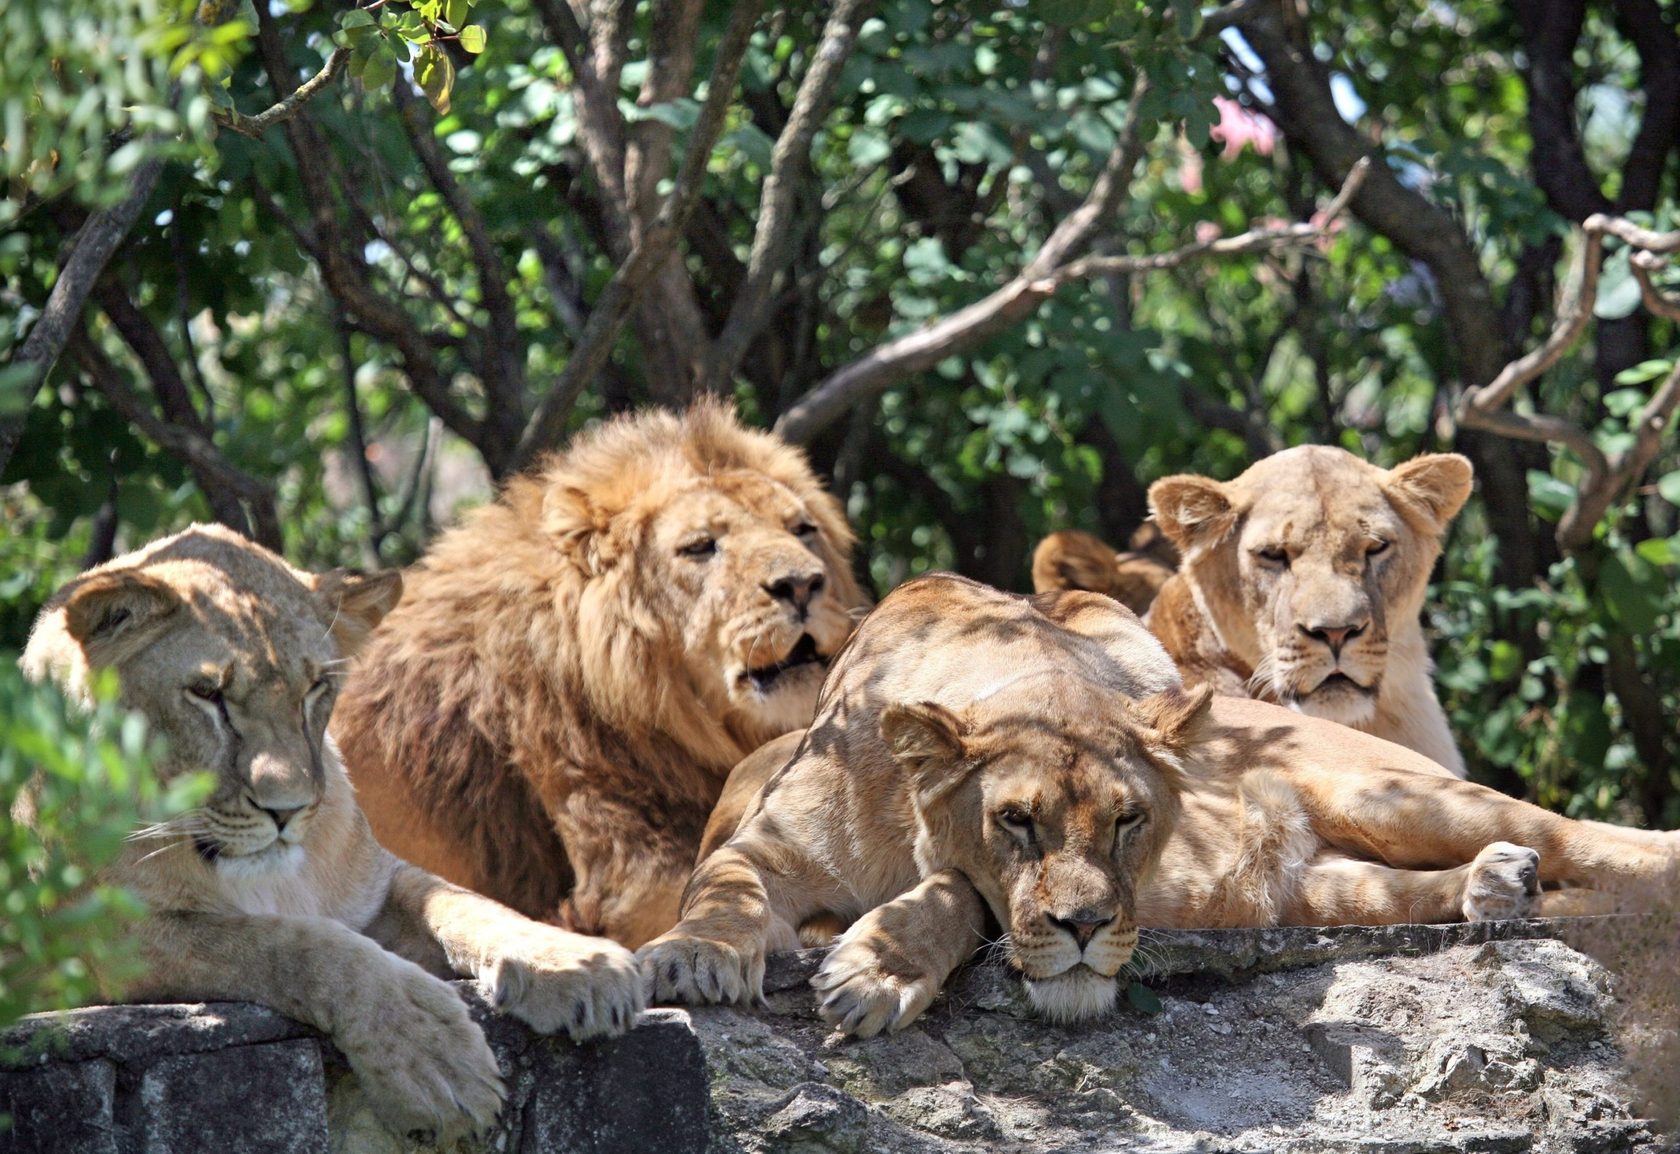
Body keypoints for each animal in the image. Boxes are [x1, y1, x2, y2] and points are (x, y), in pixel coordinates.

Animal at [22, 527, 645, 1142]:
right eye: (208, 694)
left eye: (315, 687)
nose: (287, 810)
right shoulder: (112, 940)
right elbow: (300, 946)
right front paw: (432, 1061)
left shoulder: (376, 883)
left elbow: (464, 902)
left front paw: (577, 965)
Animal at [645, 577, 1680, 1041]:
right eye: (1015, 820)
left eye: (1128, 821)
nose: (1086, 928)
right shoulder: (764, 846)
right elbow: (727, 895)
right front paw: (697, 959)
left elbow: (960, 893)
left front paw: (880, 967)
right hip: (1320, 887)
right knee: (1417, 889)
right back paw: (1494, 888)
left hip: (1395, 794)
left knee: (1582, 839)